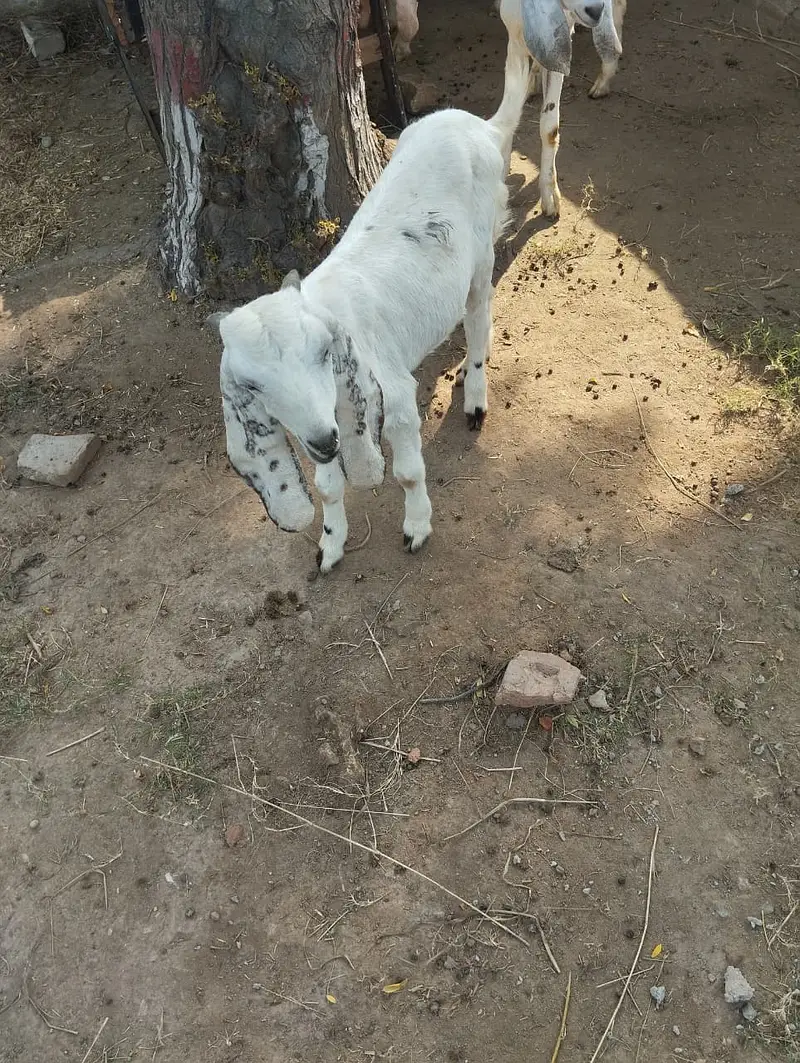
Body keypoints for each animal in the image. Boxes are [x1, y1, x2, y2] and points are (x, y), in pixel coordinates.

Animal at [211, 52, 530, 574]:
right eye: (252, 386)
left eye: (324, 353)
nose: (326, 441)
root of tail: (481, 127)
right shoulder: (315, 424)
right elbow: (326, 487)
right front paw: (331, 545)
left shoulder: (393, 396)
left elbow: (407, 472)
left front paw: (417, 527)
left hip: (481, 256)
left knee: (480, 315)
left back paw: (476, 393)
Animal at [498, 0, 625, 216]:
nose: (595, 11)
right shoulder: (515, 40)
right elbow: (510, 108)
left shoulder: (559, 48)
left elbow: (549, 127)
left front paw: (549, 196)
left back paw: (604, 79)